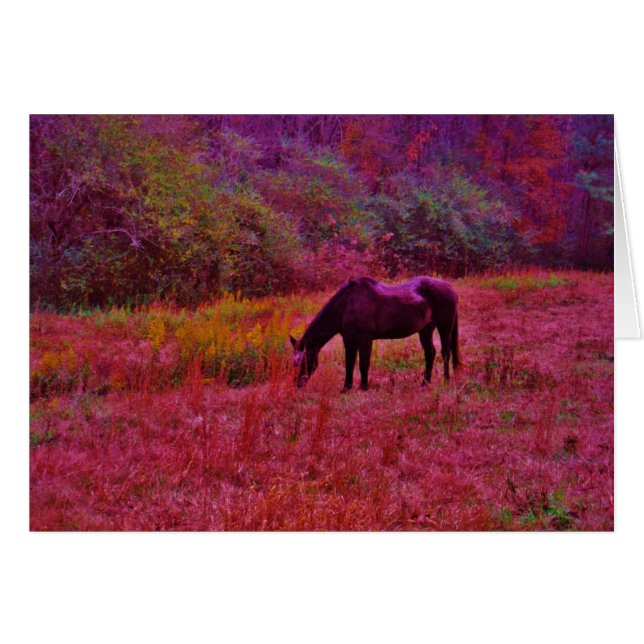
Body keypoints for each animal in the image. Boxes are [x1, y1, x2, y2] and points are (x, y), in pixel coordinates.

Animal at [290, 276, 460, 390]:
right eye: (294, 362)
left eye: (304, 361)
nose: (297, 384)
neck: (347, 305)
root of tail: (449, 287)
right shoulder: (348, 340)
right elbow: (349, 363)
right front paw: (346, 387)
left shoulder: (365, 339)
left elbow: (363, 364)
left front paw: (363, 387)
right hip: (425, 329)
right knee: (430, 353)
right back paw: (425, 383)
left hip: (444, 327)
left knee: (446, 353)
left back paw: (445, 381)